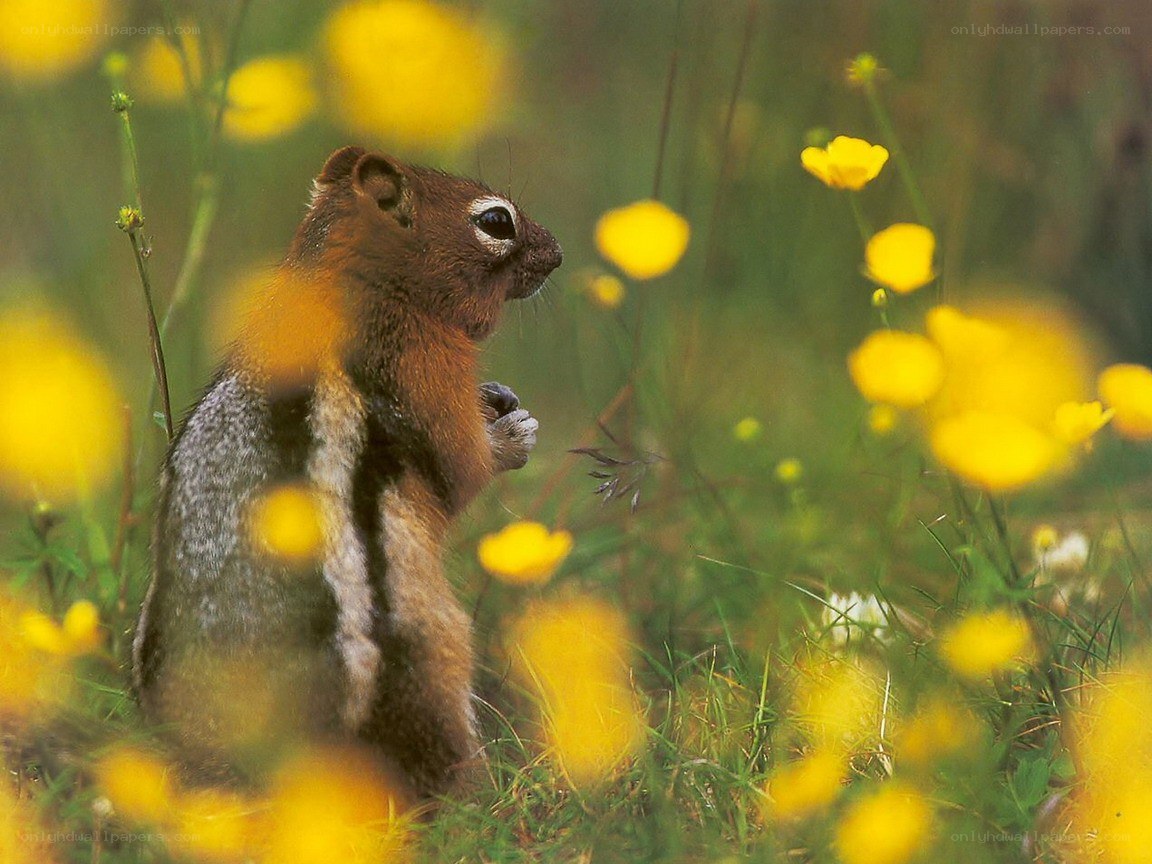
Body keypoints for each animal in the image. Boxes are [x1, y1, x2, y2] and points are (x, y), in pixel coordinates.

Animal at [131, 145, 562, 798]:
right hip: (433, 644)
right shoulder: (425, 378)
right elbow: (462, 466)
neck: (339, 284)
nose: (557, 252)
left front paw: (500, 399)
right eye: (496, 222)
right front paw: (513, 432)